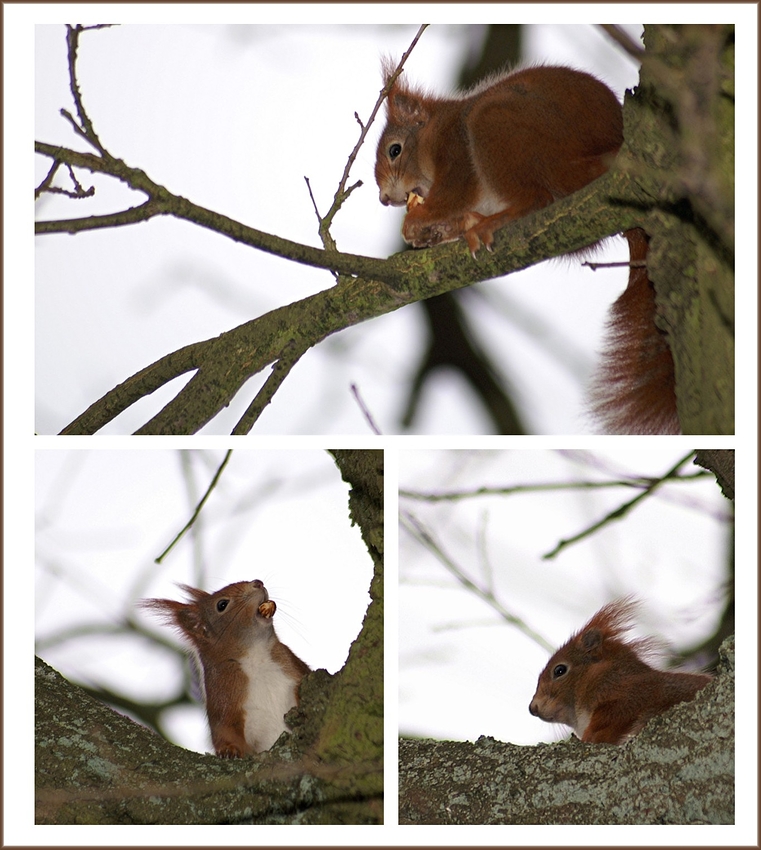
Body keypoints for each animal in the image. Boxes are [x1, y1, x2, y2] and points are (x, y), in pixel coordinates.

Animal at [142, 576, 308, 756]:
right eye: (222, 605)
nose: (258, 582)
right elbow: (224, 730)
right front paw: (229, 750)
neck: (255, 655)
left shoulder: (292, 665)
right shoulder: (222, 695)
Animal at [374, 61, 676, 430]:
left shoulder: (454, 146)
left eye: (395, 150)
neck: (433, 132)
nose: (384, 198)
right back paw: (475, 222)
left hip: (501, 126)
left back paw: (493, 221)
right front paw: (435, 230)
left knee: (536, 198)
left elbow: (456, 191)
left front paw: (419, 221)